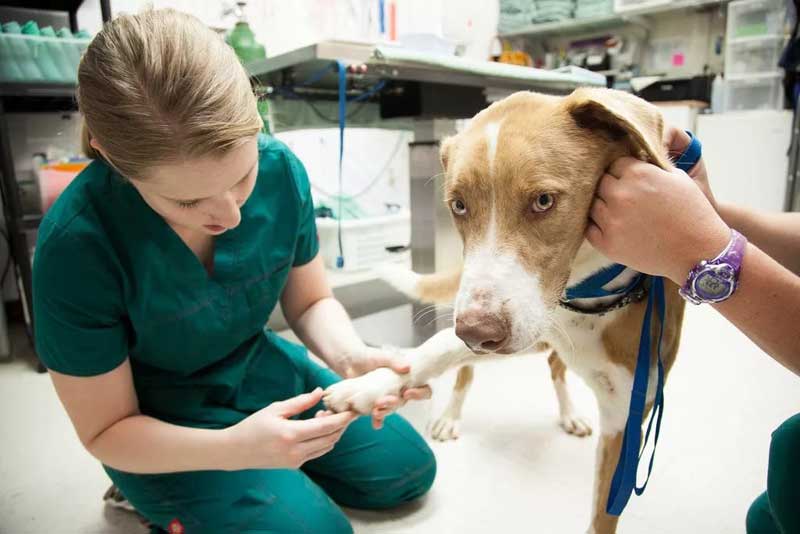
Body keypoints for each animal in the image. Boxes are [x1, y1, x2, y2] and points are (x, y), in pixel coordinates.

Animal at [324, 89, 688, 534]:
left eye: (544, 201)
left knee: (554, 369)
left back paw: (569, 414)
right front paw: (372, 383)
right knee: (473, 370)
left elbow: (603, 516)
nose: (476, 334)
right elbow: (435, 348)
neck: (587, 299)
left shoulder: (626, 414)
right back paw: (449, 414)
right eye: (458, 206)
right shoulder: (522, 326)